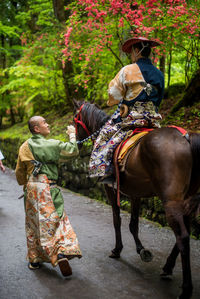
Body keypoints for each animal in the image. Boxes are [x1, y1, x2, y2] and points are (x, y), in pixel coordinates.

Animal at [72, 100, 200, 299]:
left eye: (74, 120)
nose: (77, 144)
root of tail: (186, 138)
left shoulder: (110, 189)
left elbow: (117, 219)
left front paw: (117, 250)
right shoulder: (135, 193)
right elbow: (133, 223)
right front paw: (142, 250)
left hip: (171, 200)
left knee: (183, 237)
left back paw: (186, 289)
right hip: (188, 198)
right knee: (184, 233)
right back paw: (167, 268)